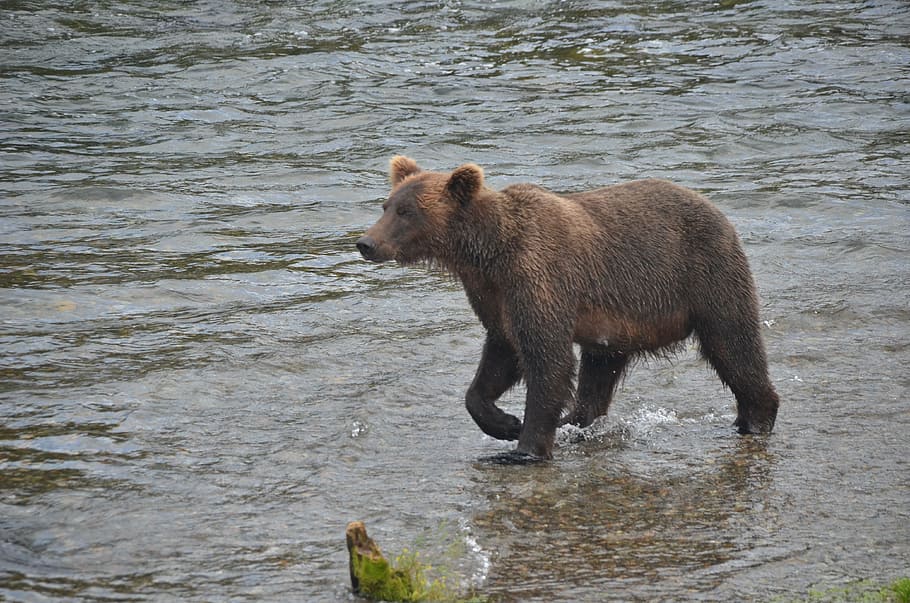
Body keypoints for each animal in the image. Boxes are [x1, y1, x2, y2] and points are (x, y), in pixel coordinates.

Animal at [356, 156, 779, 460]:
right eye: (386, 205)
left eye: (407, 211)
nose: (366, 243)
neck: (486, 253)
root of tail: (717, 210)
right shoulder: (493, 295)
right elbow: (500, 355)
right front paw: (505, 422)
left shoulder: (537, 278)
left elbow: (547, 359)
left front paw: (524, 448)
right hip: (618, 323)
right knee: (599, 373)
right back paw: (575, 422)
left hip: (706, 276)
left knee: (734, 345)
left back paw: (754, 419)